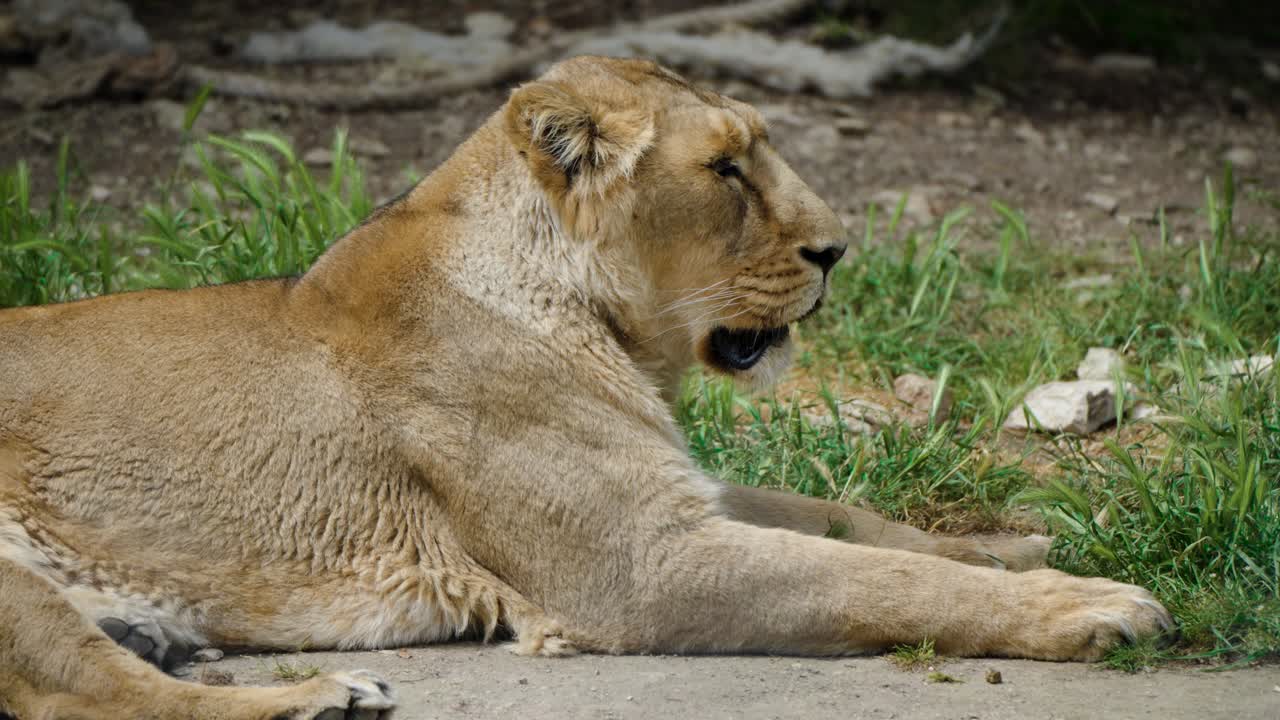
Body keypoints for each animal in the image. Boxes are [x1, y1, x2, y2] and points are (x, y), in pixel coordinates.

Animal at [0, 56, 1171, 719]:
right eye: (725, 169)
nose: (837, 252)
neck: (603, 327)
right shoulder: (639, 567)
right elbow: (882, 582)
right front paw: (1090, 605)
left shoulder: (674, 489)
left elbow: (858, 524)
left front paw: (1023, 542)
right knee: (89, 697)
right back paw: (324, 698)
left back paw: (155, 632)